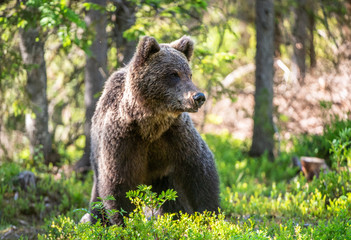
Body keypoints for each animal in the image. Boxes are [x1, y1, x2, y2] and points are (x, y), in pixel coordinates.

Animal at [85, 35, 220, 225]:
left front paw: (208, 215)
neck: (149, 124)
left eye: (189, 74)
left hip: (164, 179)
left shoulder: (176, 136)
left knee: (172, 201)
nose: (198, 97)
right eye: (173, 74)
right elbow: (117, 184)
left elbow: (200, 171)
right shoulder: (122, 139)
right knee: (97, 204)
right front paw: (127, 223)